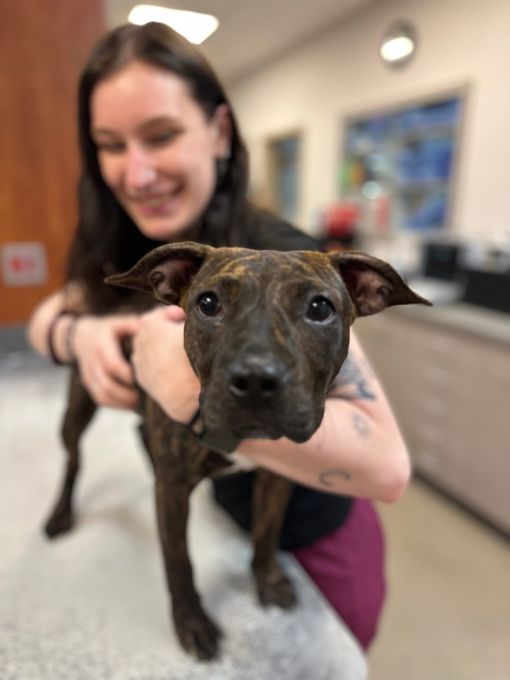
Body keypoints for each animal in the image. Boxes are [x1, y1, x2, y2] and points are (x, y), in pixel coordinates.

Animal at [42, 243, 430, 660]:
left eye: (320, 308)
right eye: (208, 303)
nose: (256, 380)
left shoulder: (276, 479)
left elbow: (267, 532)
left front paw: (267, 579)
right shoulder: (174, 491)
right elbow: (178, 561)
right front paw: (191, 621)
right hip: (78, 406)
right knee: (73, 460)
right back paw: (60, 514)